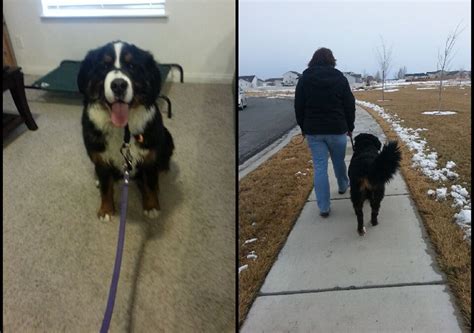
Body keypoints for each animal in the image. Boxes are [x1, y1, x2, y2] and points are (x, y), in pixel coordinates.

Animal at [78, 40, 174, 220]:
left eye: (131, 65)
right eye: (104, 66)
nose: (118, 85)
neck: (123, 130)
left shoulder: (149, 156)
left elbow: (150, 183)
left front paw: (151, 206)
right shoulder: (100, 157)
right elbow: (106, 187)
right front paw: (106, 209)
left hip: (167, 138)